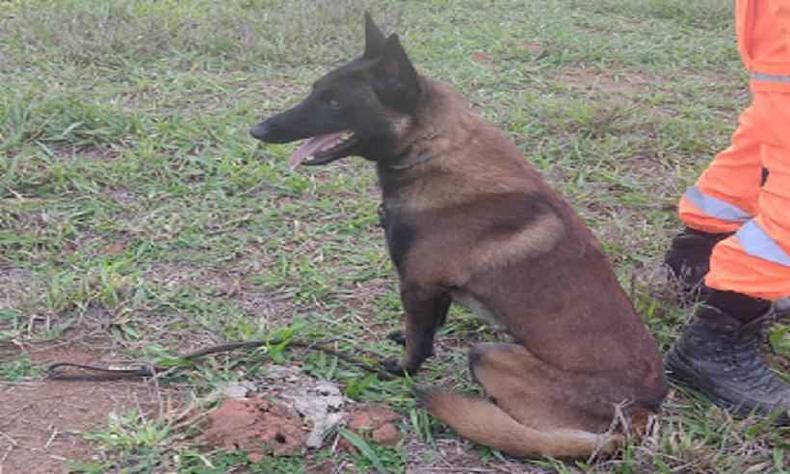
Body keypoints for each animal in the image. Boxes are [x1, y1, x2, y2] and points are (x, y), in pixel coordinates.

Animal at [252, 13, 668, 460]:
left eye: (333, 103)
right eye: (316, 91)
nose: (258, 129)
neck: (430, 151)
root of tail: (641, 414)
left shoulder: (416, 285)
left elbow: (420, 344)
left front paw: (401, 368)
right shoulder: (432, 290)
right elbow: (431, 323)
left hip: (489, 356)